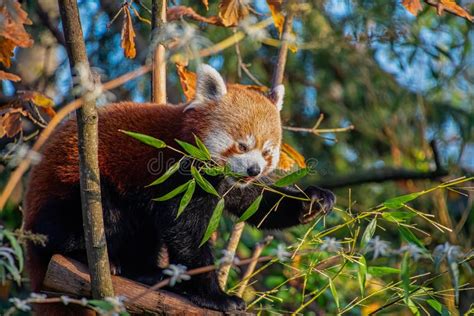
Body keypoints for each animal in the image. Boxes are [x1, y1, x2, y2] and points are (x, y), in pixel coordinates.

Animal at [21, 65, 334, 314]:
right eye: (242, 146)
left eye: (267, 152)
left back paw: (147, 271)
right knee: (100, 217)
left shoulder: (229, 184)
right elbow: (186, 230)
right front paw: (215, 296)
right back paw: (102, 259)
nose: (254, 170)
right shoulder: (177, 172)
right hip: (71, 190)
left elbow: (258, 204)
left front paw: (314, 200)